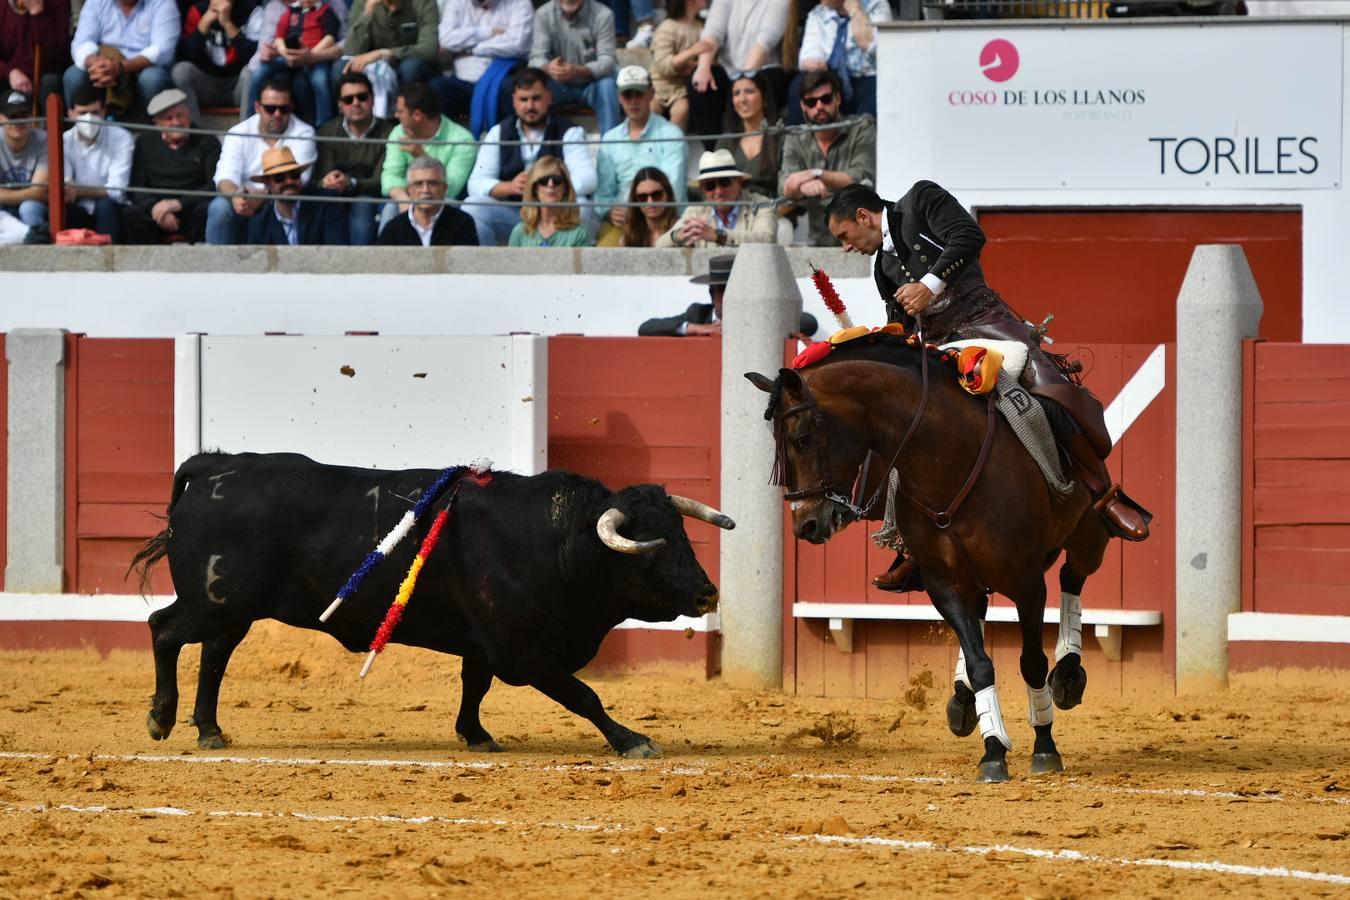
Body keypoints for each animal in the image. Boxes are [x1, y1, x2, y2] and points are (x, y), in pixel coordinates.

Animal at [128, 453, 739, 755]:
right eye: (651, 548)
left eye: (681, 536)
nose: (706, 593)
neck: (556, 540)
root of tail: (213, 469)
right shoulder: (521, 651)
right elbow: (582, 695)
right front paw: (633, 741)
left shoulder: (485, 643)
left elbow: (475, 686)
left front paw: (476, 736)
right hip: (213, 601)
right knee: (164, 629)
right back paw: (161, 720)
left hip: (234, 608)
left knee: (214, 654)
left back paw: (209, 730)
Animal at [745, 334, 1112, 782]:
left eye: (801, 439)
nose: (806, 525)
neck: (946, 462)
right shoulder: (944, 584)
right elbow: (980, 663)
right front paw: (993, 750)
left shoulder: (1026, 582)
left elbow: (1031, 662)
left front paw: (1044, 745)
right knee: (984, 613)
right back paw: (964, 699)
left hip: (1088, 533)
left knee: (1074, 576)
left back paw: (1069, 674)